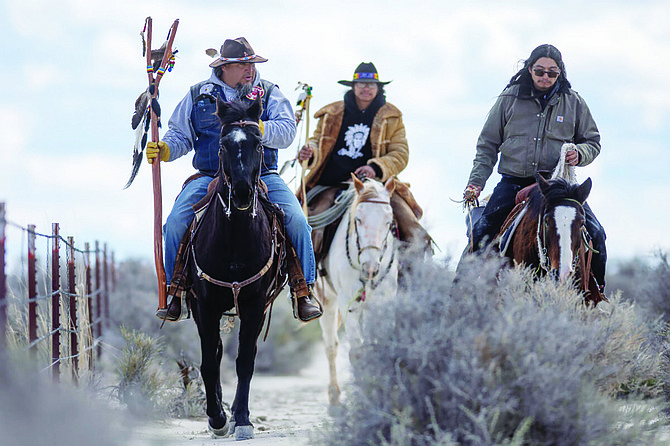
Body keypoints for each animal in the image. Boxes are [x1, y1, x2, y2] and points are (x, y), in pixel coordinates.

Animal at [186, 96, 286, 440]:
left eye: (258, 144)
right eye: (223, 145)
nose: (242, 192)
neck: (234, 241)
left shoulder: (255, 304)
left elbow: (244, 362)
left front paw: (241, 419)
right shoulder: (205, 305)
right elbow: (209, 362)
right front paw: (217, 418)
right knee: (214, 354)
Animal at [318, 173, 402, 408]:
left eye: (389, 221)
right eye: (358, 219)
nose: (370, 268)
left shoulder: (384, 303)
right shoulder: (348, 304)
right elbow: (356, 352)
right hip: (327, 301)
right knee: (331, 346)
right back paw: (334, 395)